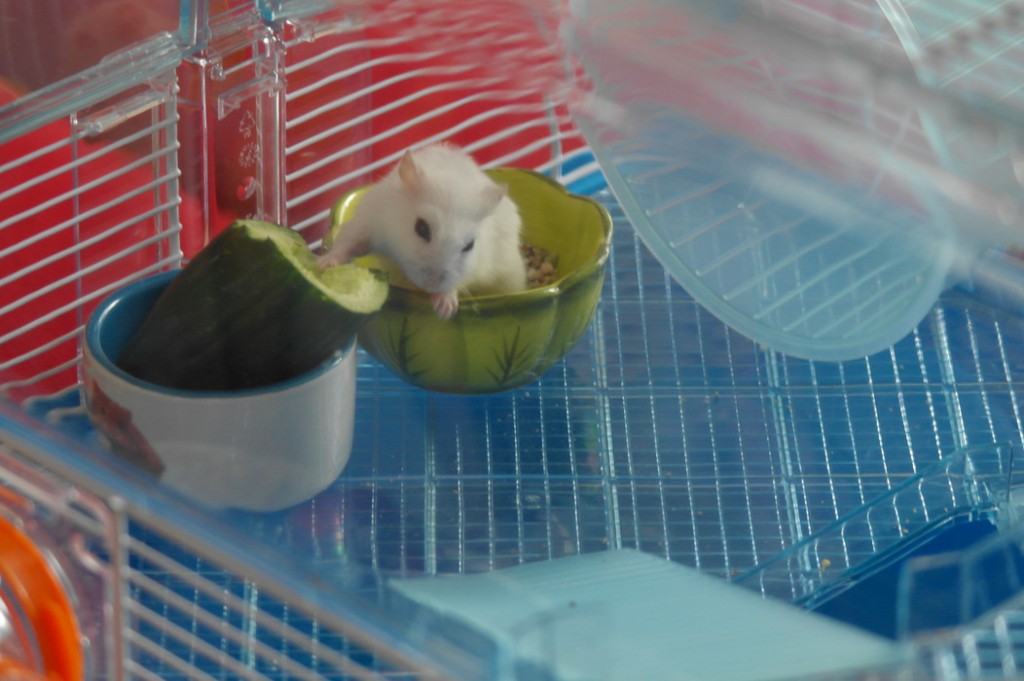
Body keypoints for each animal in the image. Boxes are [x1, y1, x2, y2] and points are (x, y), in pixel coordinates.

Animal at [317, 143, 527, 319]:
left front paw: (445, 310)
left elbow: (459, 281)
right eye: (422, 228)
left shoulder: (478, 265)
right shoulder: (367, 222)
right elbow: (347, 244)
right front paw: (324, 264)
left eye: (469, 245)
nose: (432, 285)